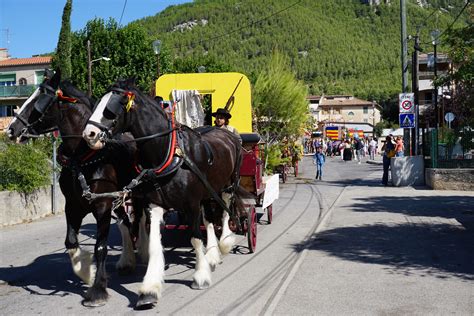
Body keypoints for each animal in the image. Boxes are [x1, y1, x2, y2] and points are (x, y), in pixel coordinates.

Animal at [6, 71, 148, 306]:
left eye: (39, 101)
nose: (11, 130)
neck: (82, 158)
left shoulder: (102, 206)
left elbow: (100, 247)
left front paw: (98, 289)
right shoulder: (73, 205)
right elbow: (71, 242)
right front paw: (88, 272)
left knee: (142, 220)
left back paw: (144, 251)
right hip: (118, 199)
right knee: (127, 224)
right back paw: (127, 260)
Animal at [83, 78, 244, 308]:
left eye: (112, 108)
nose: (89, 134)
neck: (168, 153)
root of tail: (227, 133)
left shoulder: (191, 203)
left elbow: (195, 238)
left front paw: (201, 276)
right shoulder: (154, 205)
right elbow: (154, 244)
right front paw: (149, 288)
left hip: (228, 185)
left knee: (224, 211)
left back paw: (225, 242)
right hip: (207, 190)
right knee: (209, 219)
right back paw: (212, 254)